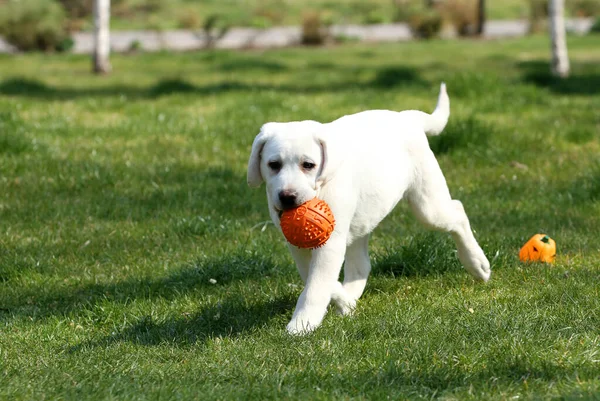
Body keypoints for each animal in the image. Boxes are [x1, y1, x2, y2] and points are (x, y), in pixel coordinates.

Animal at [246, 84, 490, 334]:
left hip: (428, 205)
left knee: (458, 212)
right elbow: (318, 280)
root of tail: (407, 117)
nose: (287, 197)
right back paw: (350, 298)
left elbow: (316, 286)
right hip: (364, 220)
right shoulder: (299, 244)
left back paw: (477, 263)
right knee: (361, 265)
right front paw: (343, 303)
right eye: (273, 165)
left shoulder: (329, 244)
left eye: (308, 165)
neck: (322, 187)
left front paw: (301, 324)